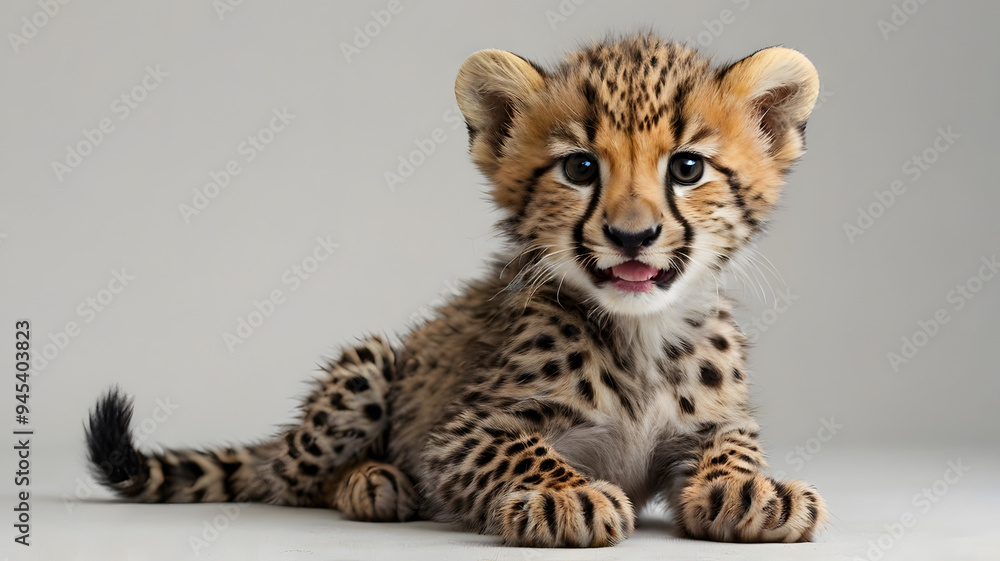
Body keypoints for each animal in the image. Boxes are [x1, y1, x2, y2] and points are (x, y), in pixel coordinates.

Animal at [85, 33, 827, 547]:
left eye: (688, 168)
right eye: (581, 169)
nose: (632, 236)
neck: (641, 331)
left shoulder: (712, 422)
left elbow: (731, 444)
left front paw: (750, 489)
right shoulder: (460, 430)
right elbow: (520, 449)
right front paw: (568, 497)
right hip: (367, 364)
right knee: (287, 480)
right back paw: (370, 481)